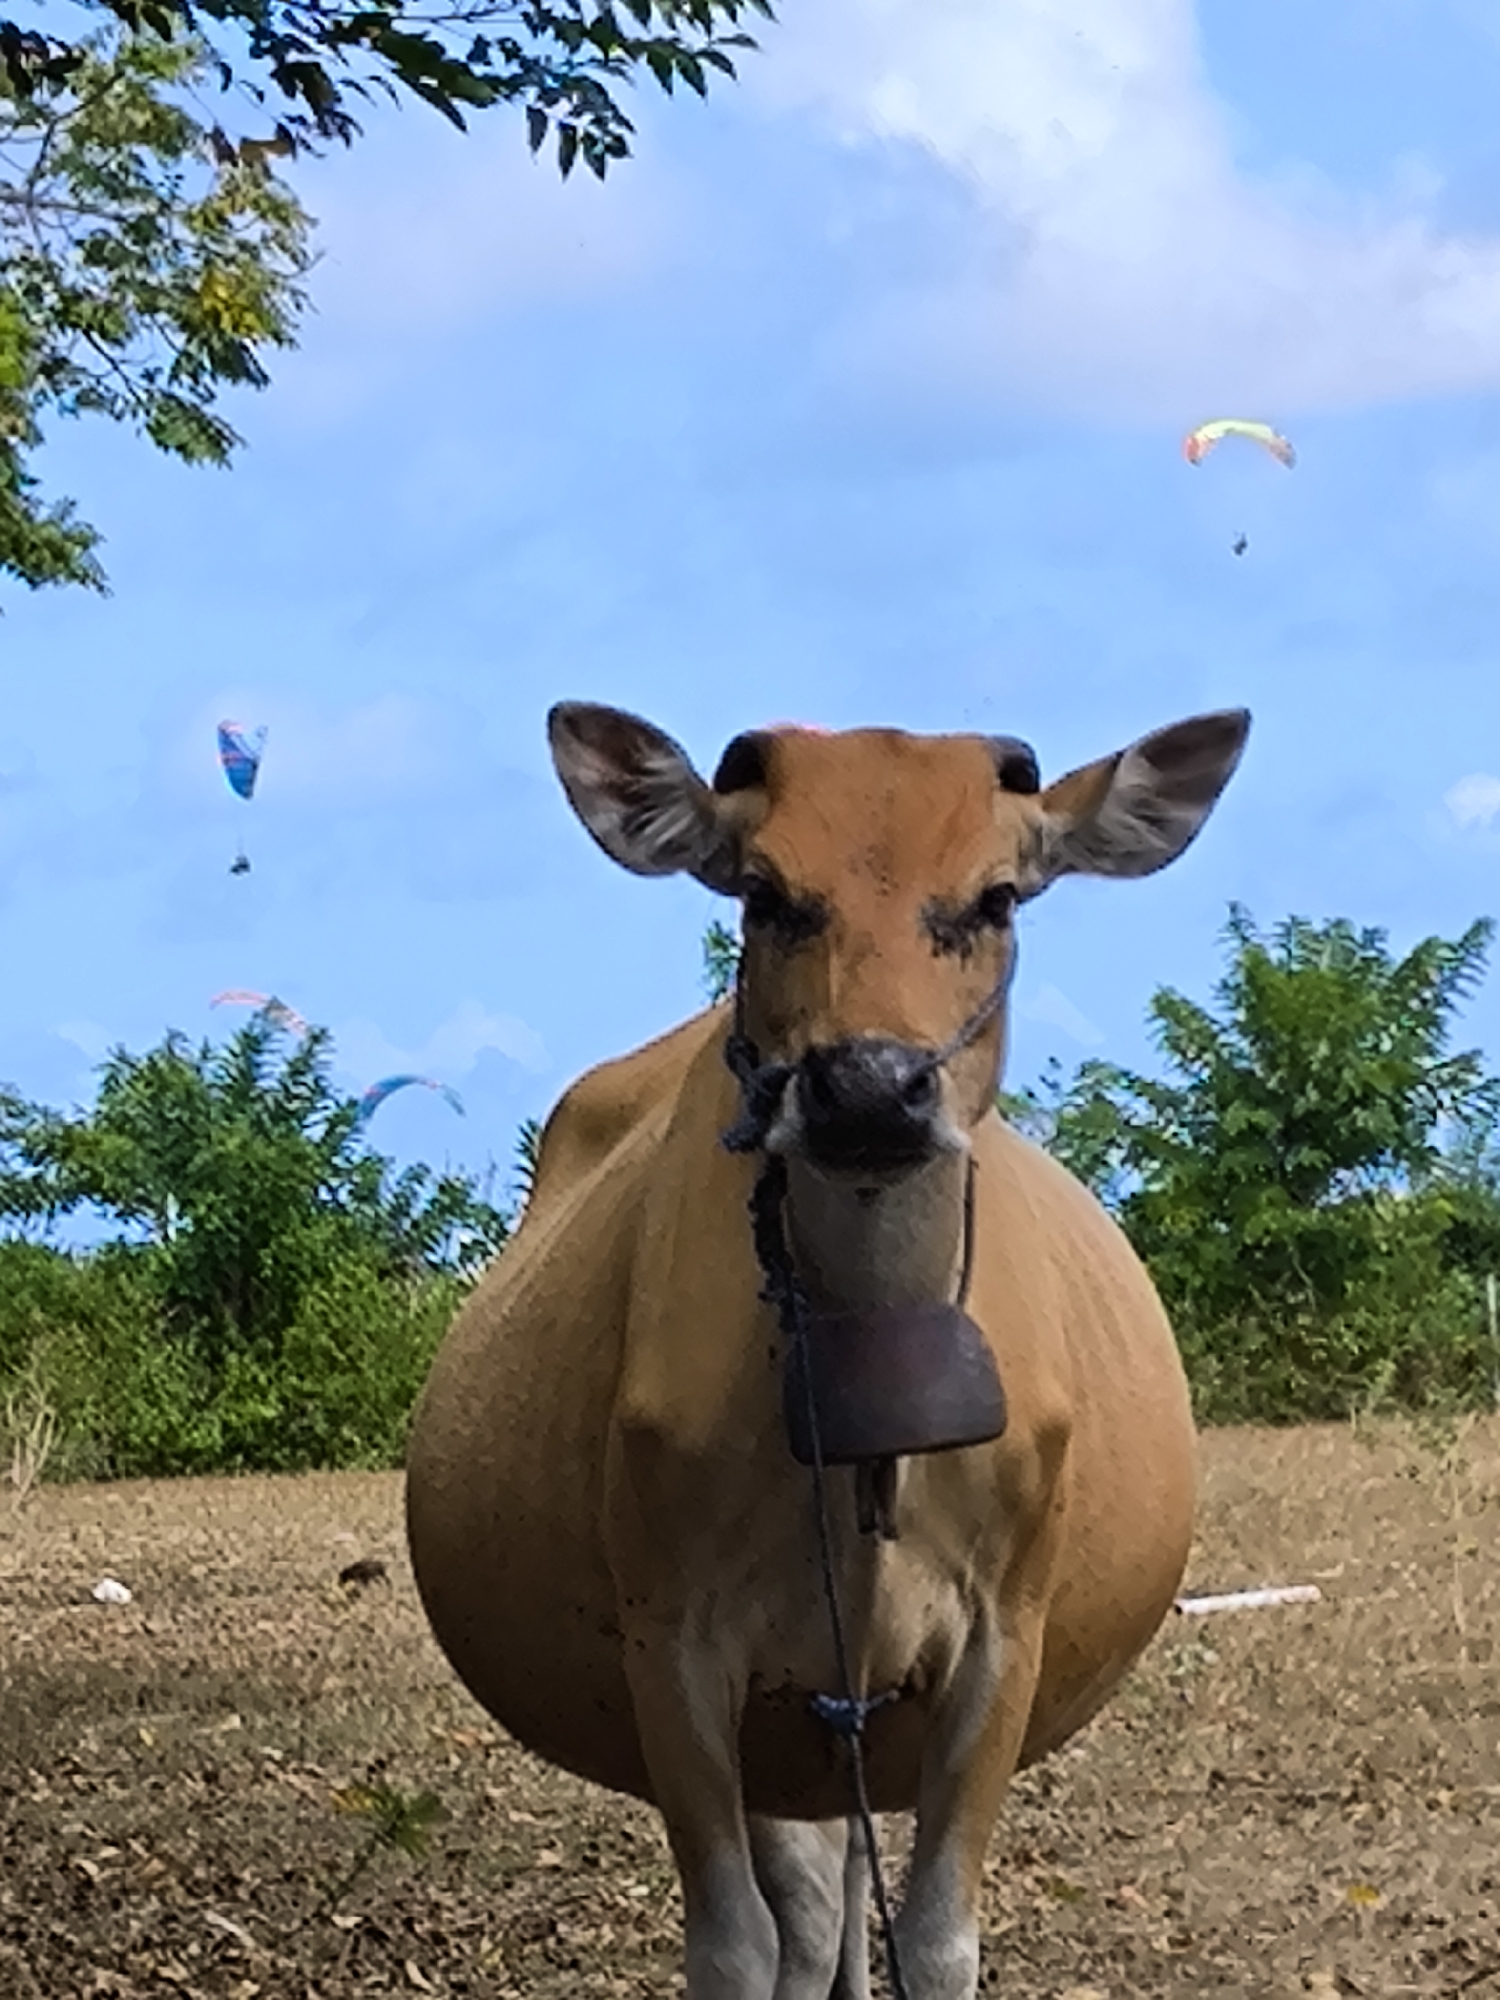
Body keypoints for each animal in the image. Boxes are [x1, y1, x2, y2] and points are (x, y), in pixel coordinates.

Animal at [405, 700, 1250, 2000]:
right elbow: (740, 1941)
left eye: (998, 896)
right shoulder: (675, 1645)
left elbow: (938, 1937)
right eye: (765, 894)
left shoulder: (1003, 1637)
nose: (868, 1087)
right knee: (807, 1908)